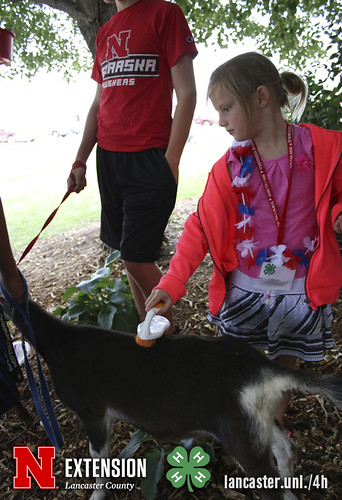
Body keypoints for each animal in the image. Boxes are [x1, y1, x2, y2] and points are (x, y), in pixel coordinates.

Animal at [4, 300, 342, 500]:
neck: (57, 345)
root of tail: (266, 370)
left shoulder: (92, 411)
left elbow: (98, 460)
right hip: (255, 419)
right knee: (285, 449)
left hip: (240, 435)